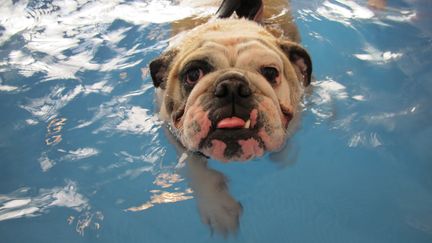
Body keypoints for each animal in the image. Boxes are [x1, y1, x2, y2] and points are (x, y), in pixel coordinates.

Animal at [148, 0, 310, 235]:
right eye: (193, 75)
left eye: (271, 73)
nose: (232, 86)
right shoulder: (174, 135)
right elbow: (196, 168)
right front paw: (217, 206)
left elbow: (285, 153)